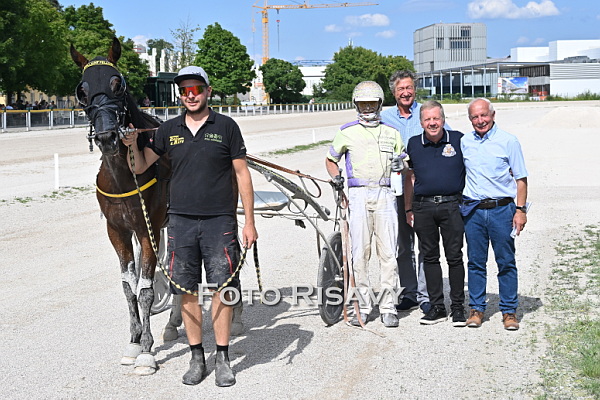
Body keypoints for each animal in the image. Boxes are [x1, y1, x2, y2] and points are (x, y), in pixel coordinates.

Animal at [70, 37, 180, 375]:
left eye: (117, 83)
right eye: (82, 90)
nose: (107, 136)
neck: (123, 173)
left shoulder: (147, 229)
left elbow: (145, 289)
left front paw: (146, 350)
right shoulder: (117, 230)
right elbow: (128, 286)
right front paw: (133, 341)